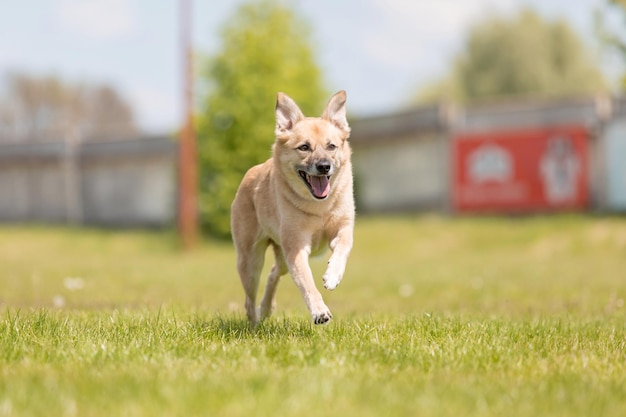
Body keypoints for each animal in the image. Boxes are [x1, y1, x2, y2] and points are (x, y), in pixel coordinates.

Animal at [230, 90, 354, 324]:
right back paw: (254, 324)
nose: (324, 166)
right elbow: (307, 284)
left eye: (331, 146)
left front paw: (332, 276)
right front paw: (319, 311)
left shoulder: (343, 228)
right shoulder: (296, 248)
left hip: (281, 258)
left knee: (273, 273)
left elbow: (343, 248)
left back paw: (266, 308)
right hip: (251, 261)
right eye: (304, 147)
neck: (319, 207)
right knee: (249, 300)